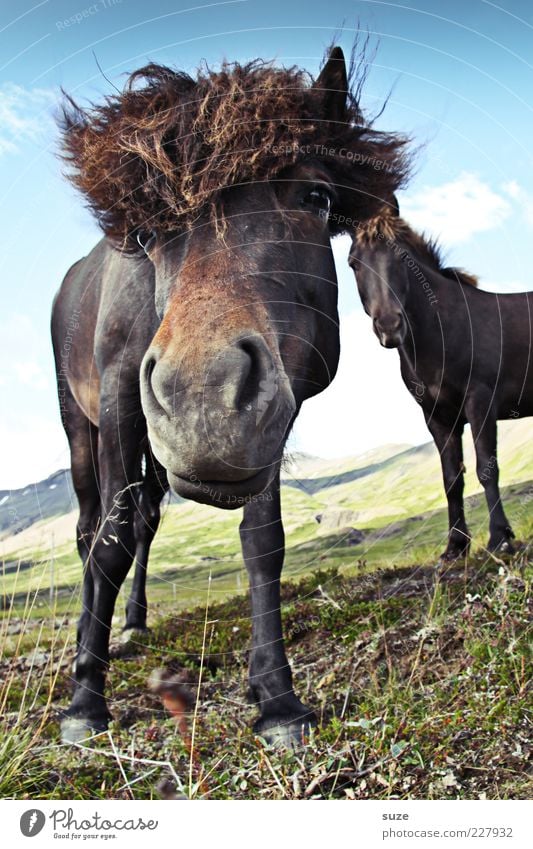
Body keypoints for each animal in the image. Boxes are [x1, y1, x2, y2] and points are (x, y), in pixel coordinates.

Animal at [52, 46, 408, 744]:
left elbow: (262, 540)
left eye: (317, 197)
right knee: (90, 530)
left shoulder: (275, 413)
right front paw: (84, 703)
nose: (203, 403)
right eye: (146, 235)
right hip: (81, 428)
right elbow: (107, 542)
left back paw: (134, 624)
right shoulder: (119, 401)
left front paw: (275, 699)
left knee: (145, 520)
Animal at [350, 198, 532, 556]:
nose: (390, 326)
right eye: (353, 263)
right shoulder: (437, 417)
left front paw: (500, 537)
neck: (446, 329)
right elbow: (452, 479)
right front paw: (456, 545)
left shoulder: (480, 402)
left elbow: (486, 468)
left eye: (401, 257)